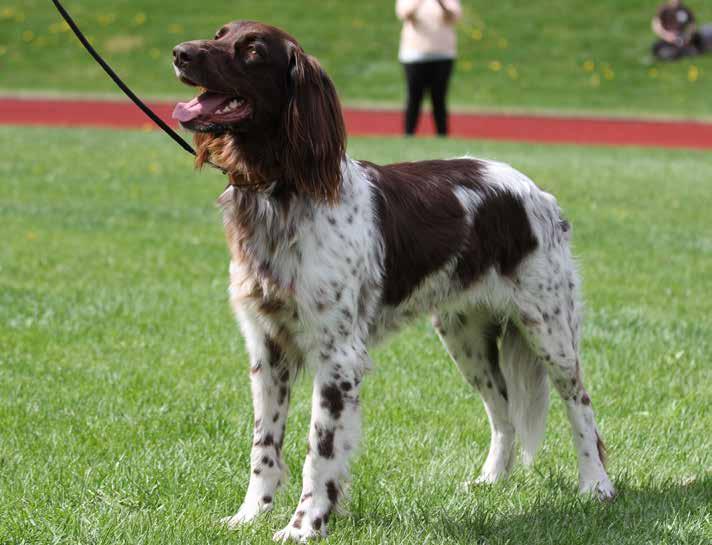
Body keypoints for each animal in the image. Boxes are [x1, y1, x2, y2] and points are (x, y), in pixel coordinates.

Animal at [172, 20, 616, 540]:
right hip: (463, 337)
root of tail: (536, 191)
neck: (281, 192)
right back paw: (491, 479)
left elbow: (319, 452)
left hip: (549, 329)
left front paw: (304, 527)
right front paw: (250, 514)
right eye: (219, 33)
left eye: (252, 50)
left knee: (580, 404)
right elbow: (264, 445)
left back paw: (596, 484)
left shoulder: (338, 356)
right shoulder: (267, 349)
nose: (180, 52)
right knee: (502, 409)